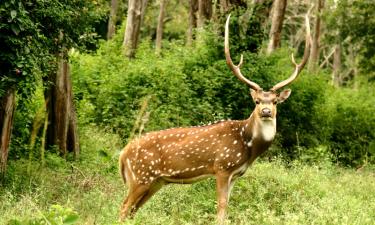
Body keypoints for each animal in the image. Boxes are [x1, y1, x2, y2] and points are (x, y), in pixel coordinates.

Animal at [119, 13, 312, 224]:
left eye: (276, 101)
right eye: (257, 101)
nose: (267, 111)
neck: (248, 145)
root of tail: (122, 154)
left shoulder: (236, 174)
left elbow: (227, 207)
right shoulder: (222, 167)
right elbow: (221, 207)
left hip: (156, 181)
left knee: (131, 210)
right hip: (141, 176)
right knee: (124, 207)